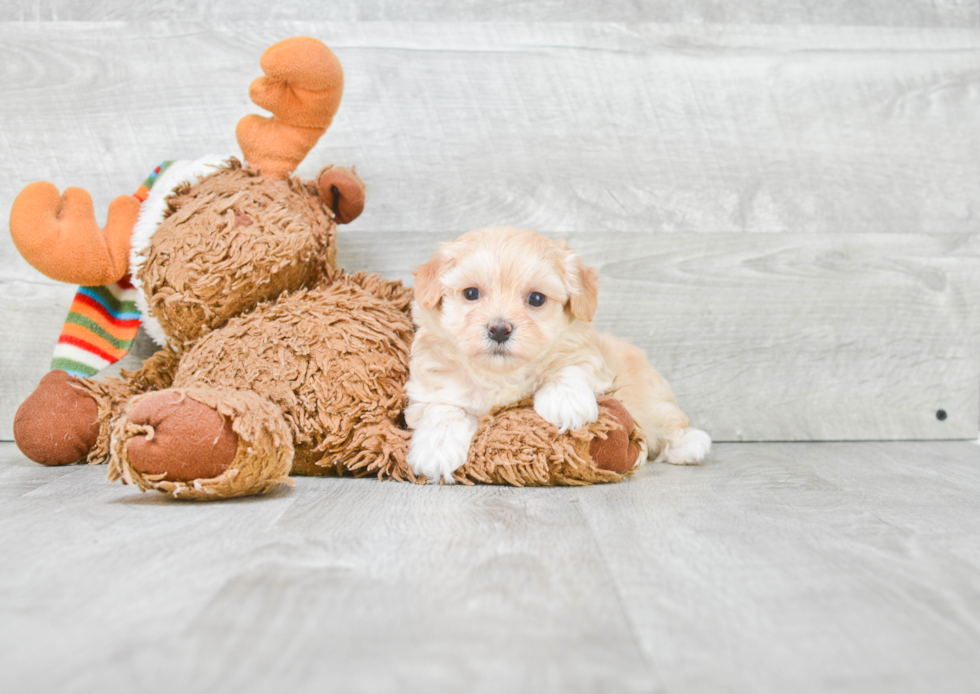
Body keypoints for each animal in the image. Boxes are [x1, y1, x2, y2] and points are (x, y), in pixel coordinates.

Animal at [402, 227, 708, 484]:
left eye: (536, 299)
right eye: (471, 293)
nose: (499, 329)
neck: (500, 374)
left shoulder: (588, 353)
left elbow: (572, 364)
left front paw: (566, 403)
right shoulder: (429, 381)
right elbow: (441, 407)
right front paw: (437, 449)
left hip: (649, 397)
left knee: (668, 420)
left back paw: (690, 445)